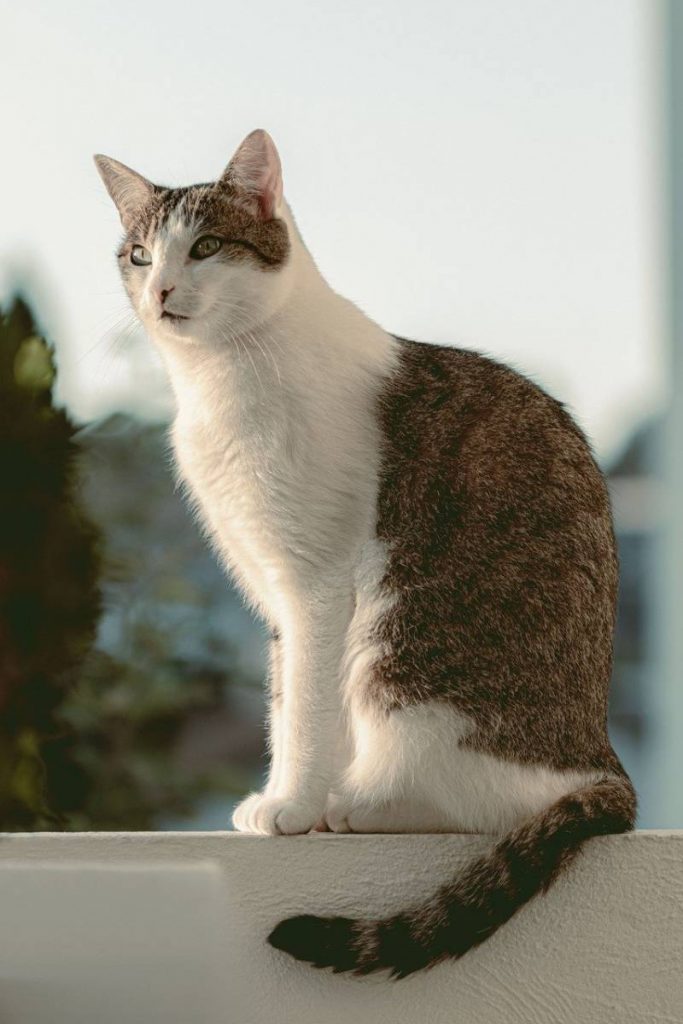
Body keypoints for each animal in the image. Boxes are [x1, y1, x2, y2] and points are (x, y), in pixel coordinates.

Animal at [94, 128, 634, 974]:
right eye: (140, 254)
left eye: (206, 246)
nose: (161, 293)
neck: (222, 379)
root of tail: (600, 762)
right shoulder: (274, 589)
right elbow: (283, 698)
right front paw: (284, 800)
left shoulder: (317, 582)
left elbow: (308, 706)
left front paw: (293, 805)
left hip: (400, 650)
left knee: (478, 798)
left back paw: (364, 805)